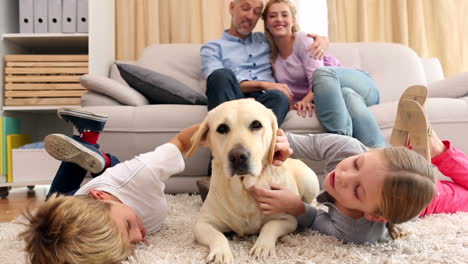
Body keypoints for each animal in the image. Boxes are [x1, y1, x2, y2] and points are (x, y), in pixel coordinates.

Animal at [188, 99, 320, 264]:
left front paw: (262, 247)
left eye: (256, 125)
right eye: (222, 128)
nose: (238, 156)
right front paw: (221, 253)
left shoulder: (288, 219)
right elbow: (217, 235)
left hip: (309, 181)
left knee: (313, 199)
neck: (243, 189)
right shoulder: (202, 223)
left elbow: (269, 226)